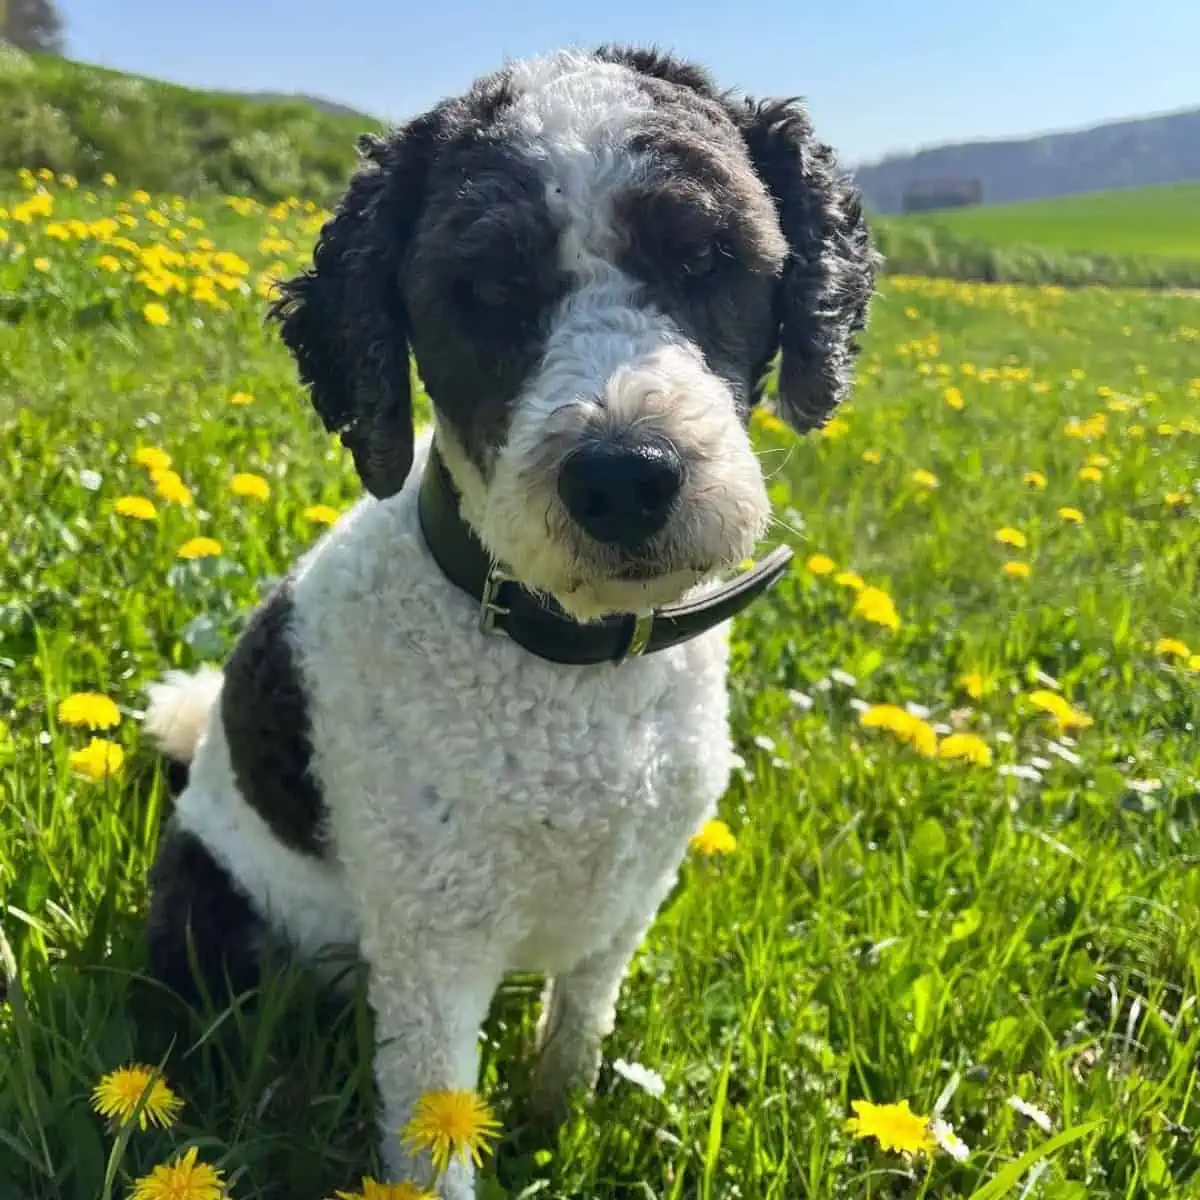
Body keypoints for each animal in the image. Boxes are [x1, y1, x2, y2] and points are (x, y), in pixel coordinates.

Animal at [140, 42, 878, 1195]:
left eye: (705, 254)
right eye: (486, 288)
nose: (624, 476)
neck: (577, 676)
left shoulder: (625, 904)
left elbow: (579, 1034)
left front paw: (558, 1115)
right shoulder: (432, 957)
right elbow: (436, 1134)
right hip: (217, 921)